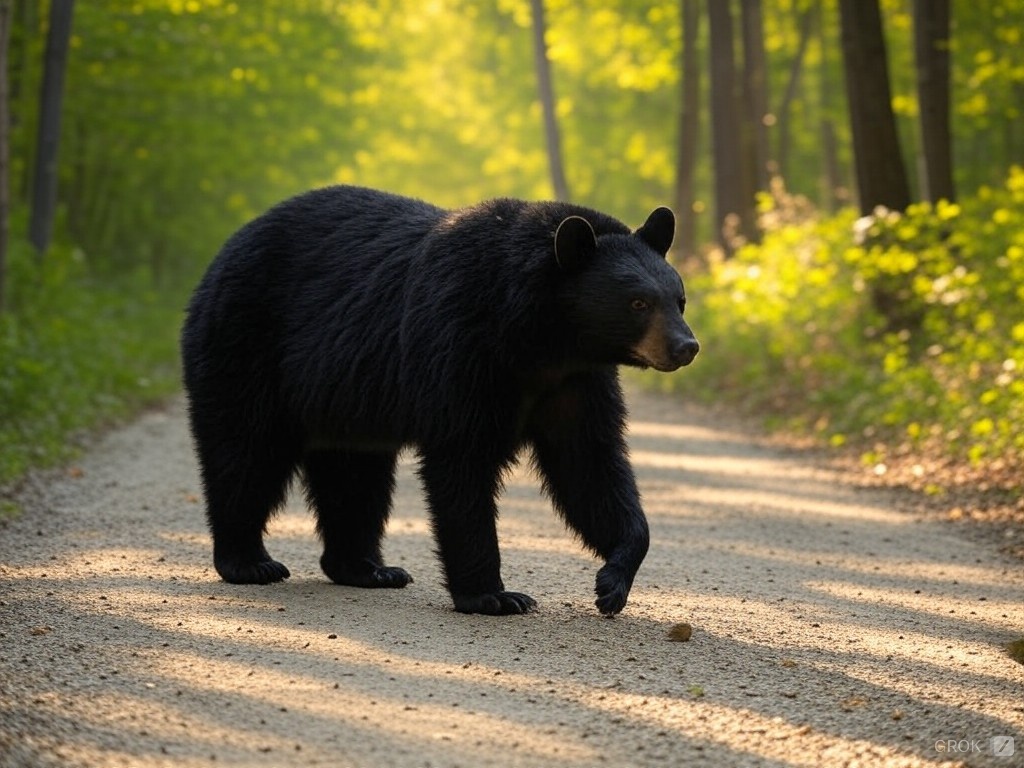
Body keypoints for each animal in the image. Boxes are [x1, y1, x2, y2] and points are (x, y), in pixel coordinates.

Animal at [180, 186, 700, 618]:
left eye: (679, 299)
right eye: (638, 303)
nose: (686, 346)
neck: (540, 340)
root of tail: (223, 254)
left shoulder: (575, 382)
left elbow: (590, 466)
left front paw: (613, 582)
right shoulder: (460, 343)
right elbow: (461, 460)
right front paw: (494, 595)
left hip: (347, 399)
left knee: (354, 475)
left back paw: (368, 569)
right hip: (245, 344)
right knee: (245, 452)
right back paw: (249, 562)